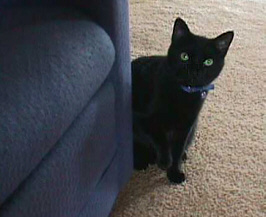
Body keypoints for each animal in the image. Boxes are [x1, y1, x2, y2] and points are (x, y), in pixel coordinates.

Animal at [132, 17, 234, 184]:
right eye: (184, 56)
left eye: (208, 62)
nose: (194, 71)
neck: (184, 94)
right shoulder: (145, 119)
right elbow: (160, 137)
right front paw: (165, 161)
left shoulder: (186, 126)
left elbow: (178, 150)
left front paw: (174, 172)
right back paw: (141, 161)